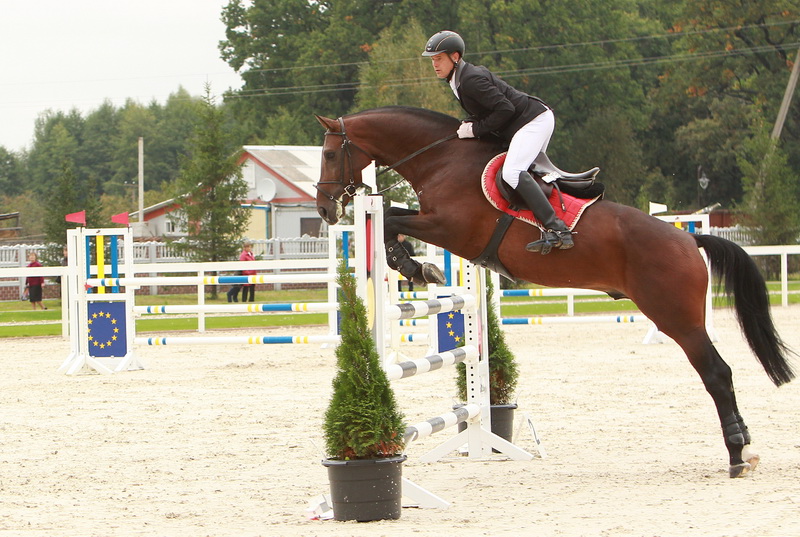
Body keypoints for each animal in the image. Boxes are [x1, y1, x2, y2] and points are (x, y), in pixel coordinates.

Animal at [313, 105, 795, 478]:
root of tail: (688, 241)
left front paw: (415, 265)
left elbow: (392, 221)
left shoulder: (450, 228)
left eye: (331, 153)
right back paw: (742, 449)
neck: (442, 159)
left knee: (717, 373)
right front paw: (416, 265)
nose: (324, 209)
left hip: (678, 319)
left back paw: (738, 454)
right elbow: (394, 215)